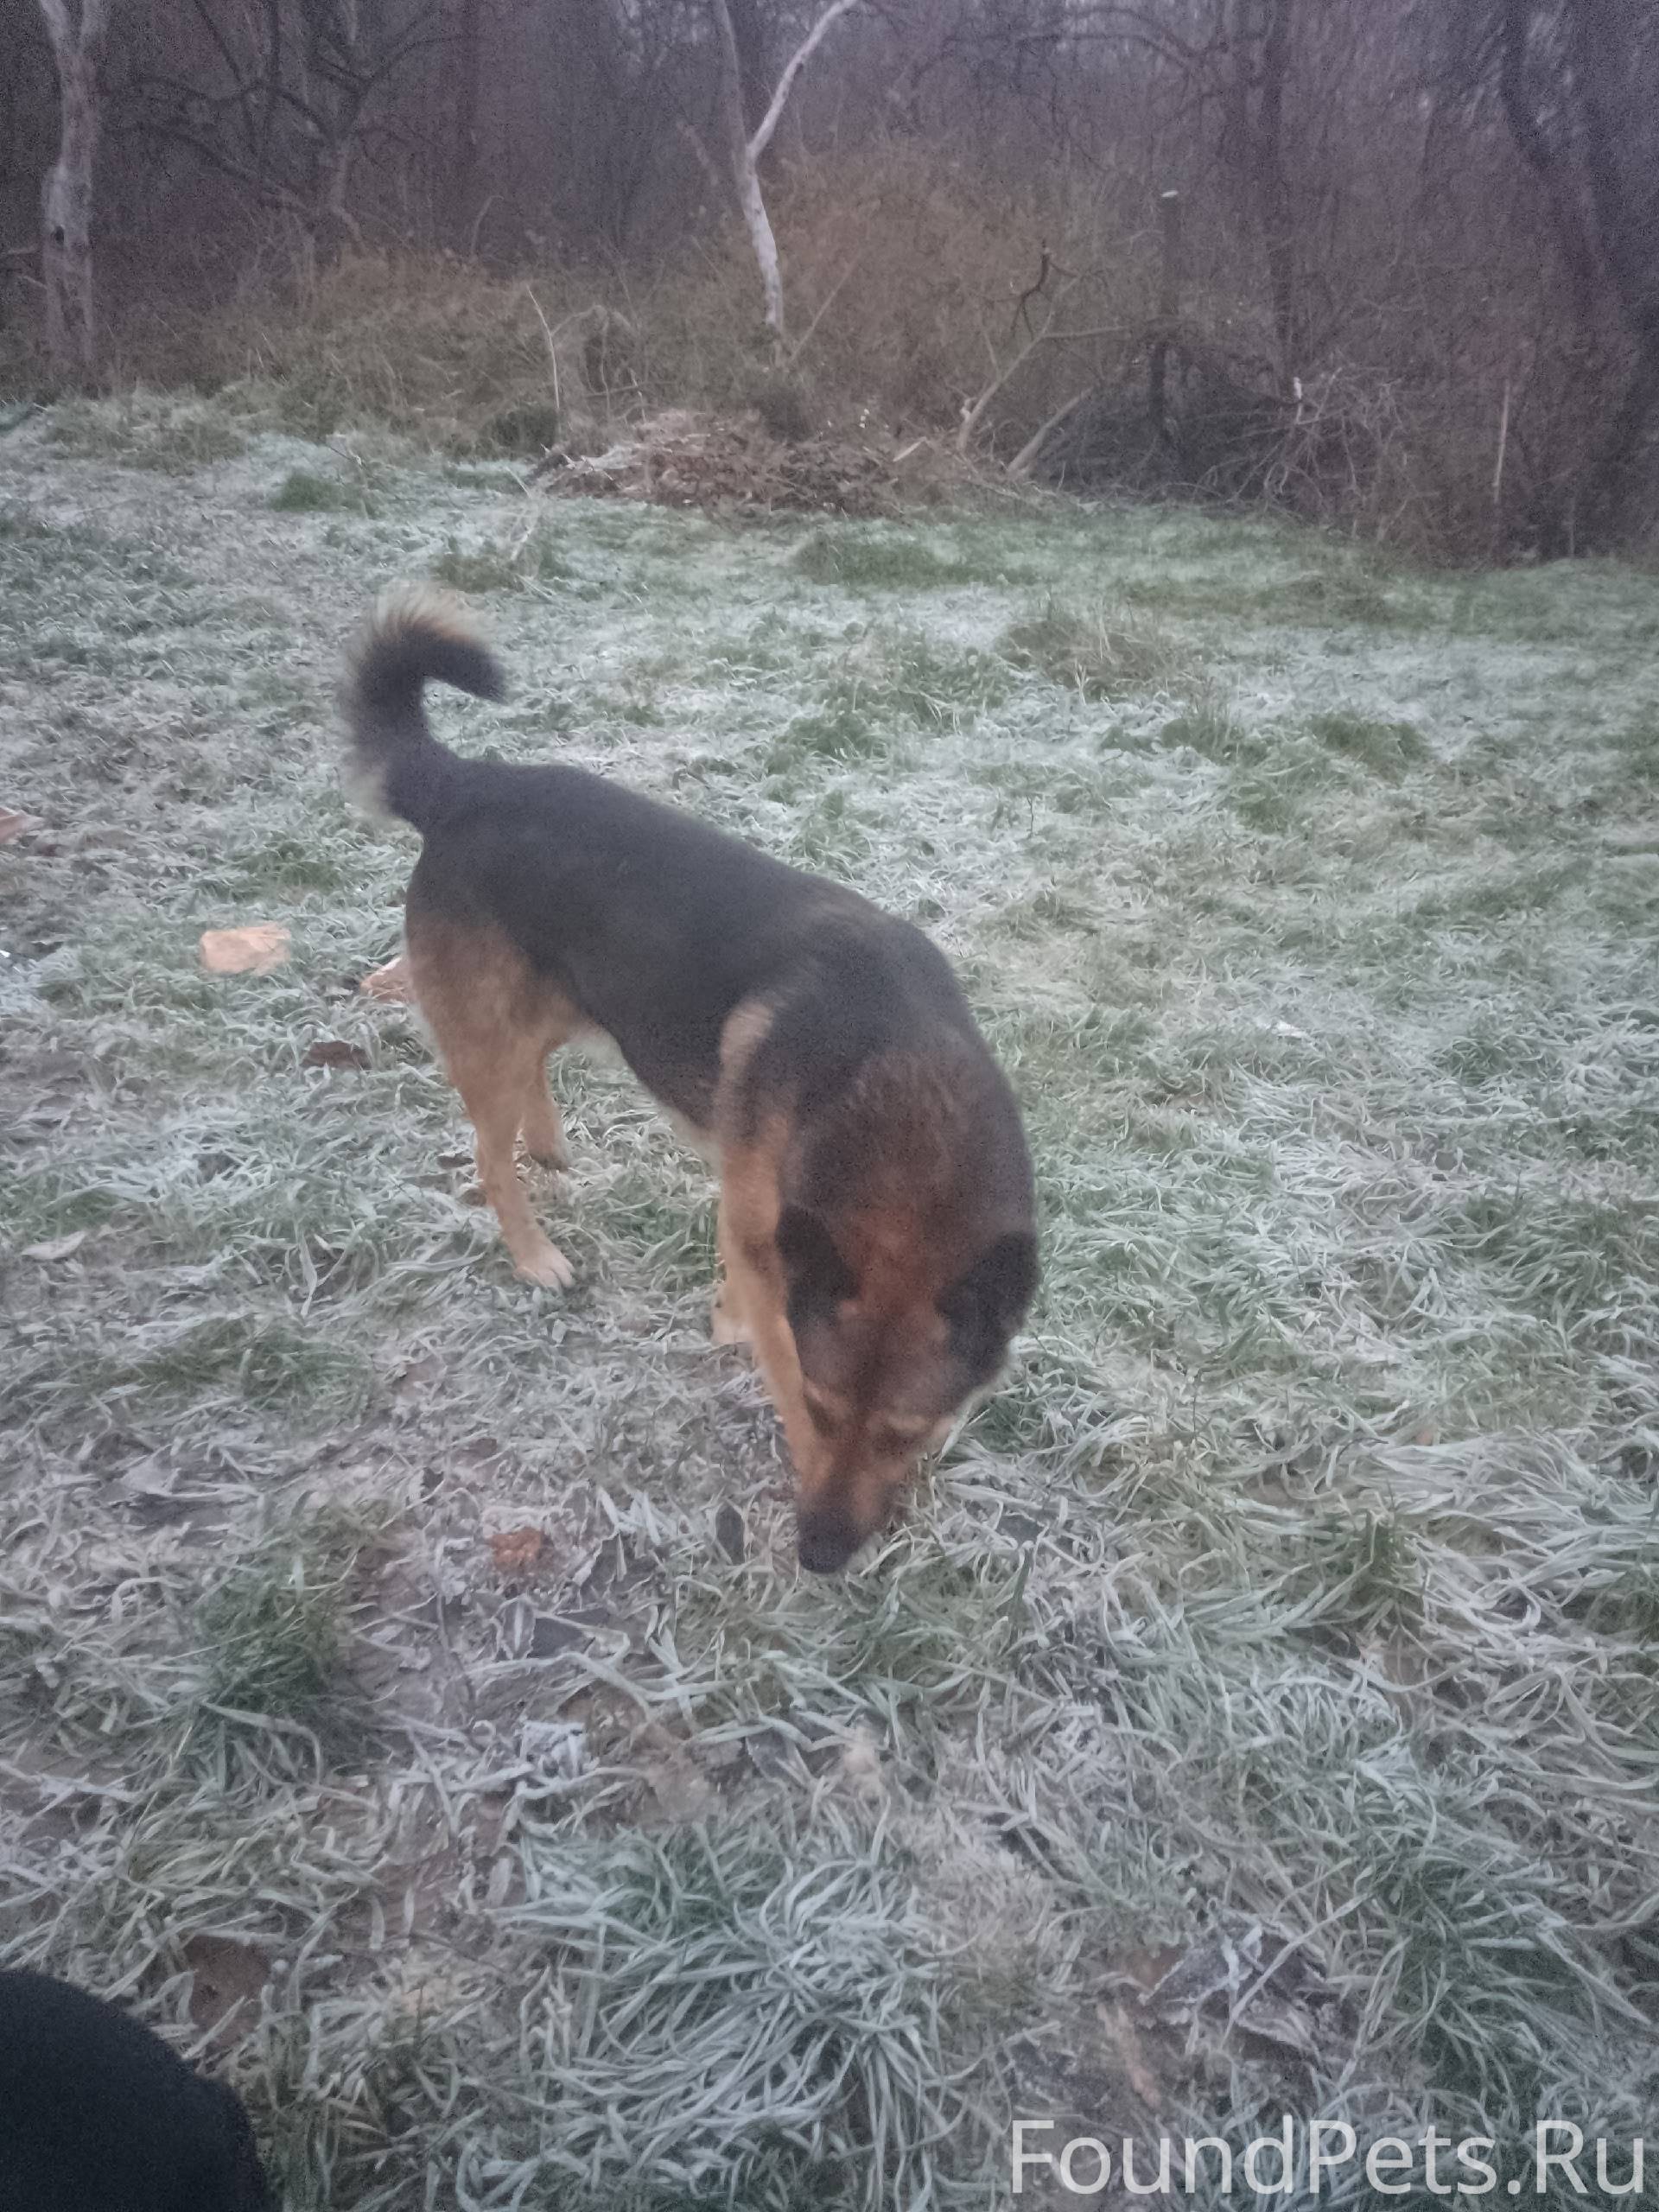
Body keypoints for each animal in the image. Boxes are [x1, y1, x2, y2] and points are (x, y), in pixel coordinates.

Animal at [345, 588, 1038, 1572]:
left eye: (909, 1433)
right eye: (821, 1411)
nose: (820, 1556)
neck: (893, 1083)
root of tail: (468, 785)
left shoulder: (765, 1221)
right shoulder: (767, 1236)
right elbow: (767, 1337)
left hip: (568, 1002)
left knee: (533, 1083)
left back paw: (549, 1144)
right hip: (489, 1039)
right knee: (487, 1153)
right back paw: (536, 1254)